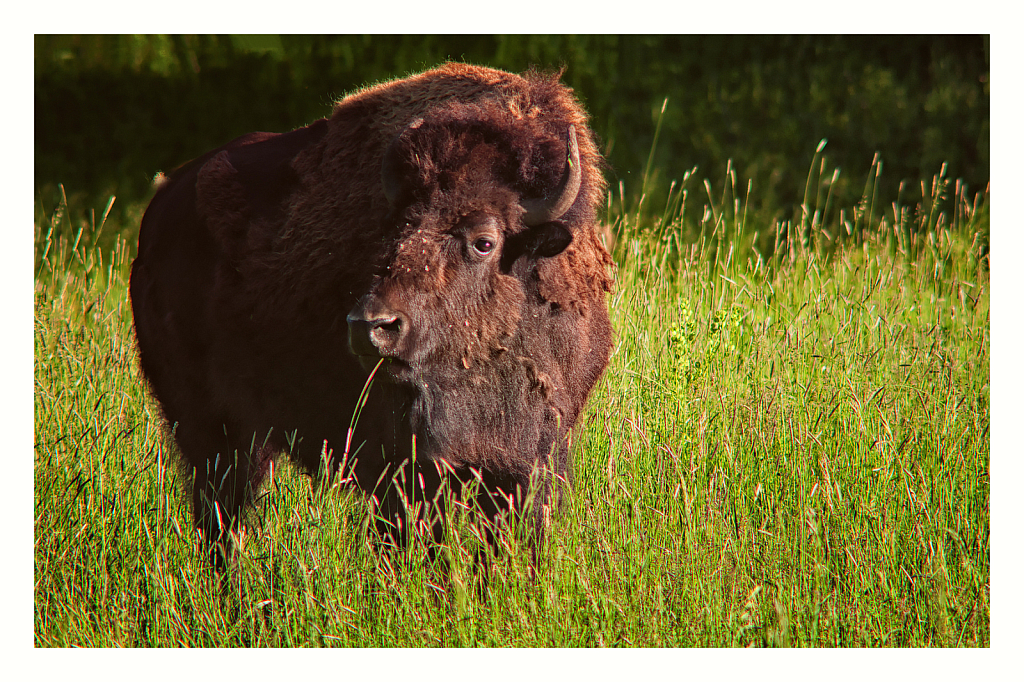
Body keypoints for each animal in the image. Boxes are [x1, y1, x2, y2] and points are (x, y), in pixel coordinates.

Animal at [131, 63, 610, 565]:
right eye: (392, 235)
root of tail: (158, 215)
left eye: (484, 241)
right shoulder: (406, 469)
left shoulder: (531, 460)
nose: (370, 327)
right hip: (209, 429)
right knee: (221, 516)